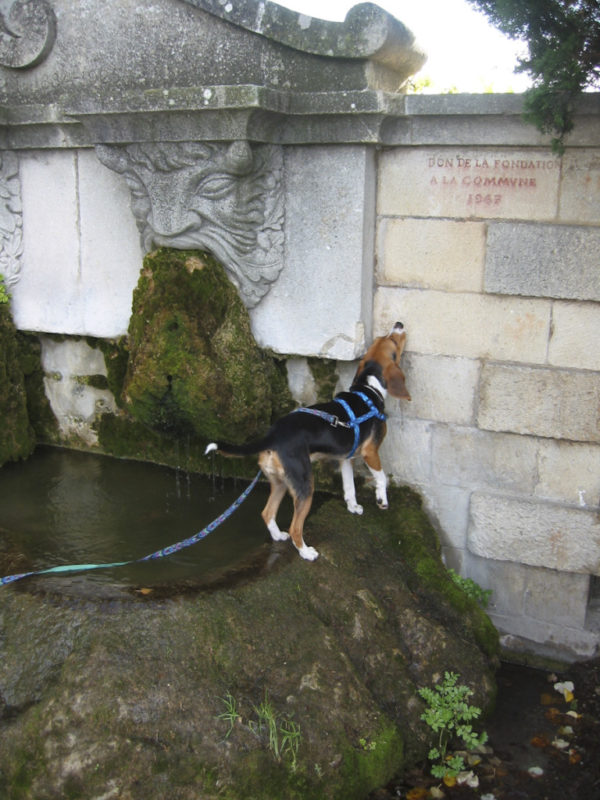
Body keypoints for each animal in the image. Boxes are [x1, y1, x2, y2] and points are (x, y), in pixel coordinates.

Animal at [204, 322, 410, 560]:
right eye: (393, 341)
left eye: (380, 339)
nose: (399, 324)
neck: (369, 389)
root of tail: (273, 435)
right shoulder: (371, 452)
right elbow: (382, 478)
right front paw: (382, 500)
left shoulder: (345, 458)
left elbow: (349, 487)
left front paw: (353, 507)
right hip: (304, 484)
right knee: (295, 526)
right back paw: (305, 552)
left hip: (280, 482)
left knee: (267, 513)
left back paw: (278, 536)